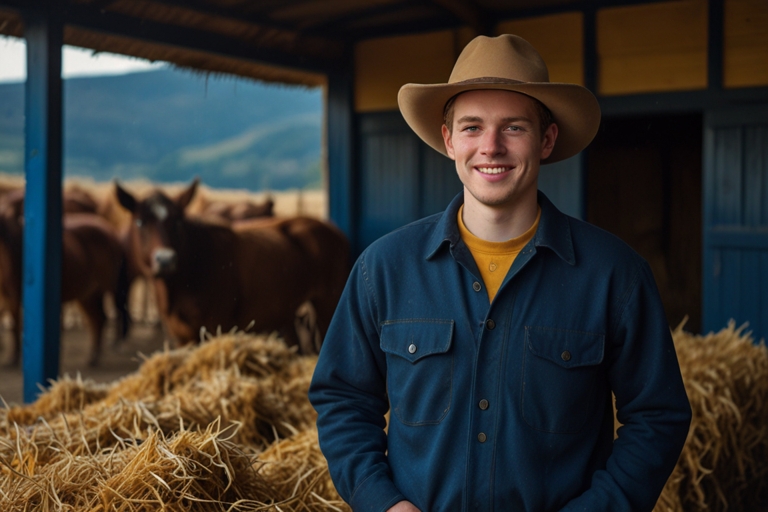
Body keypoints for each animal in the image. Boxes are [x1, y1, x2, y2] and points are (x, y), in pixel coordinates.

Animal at [115, 178, 352, 354]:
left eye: (178, 221)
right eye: (140, 222)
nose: (165, 260)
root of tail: (332, 229)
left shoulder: (216, 327)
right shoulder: (181, 335)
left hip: (329, 302)